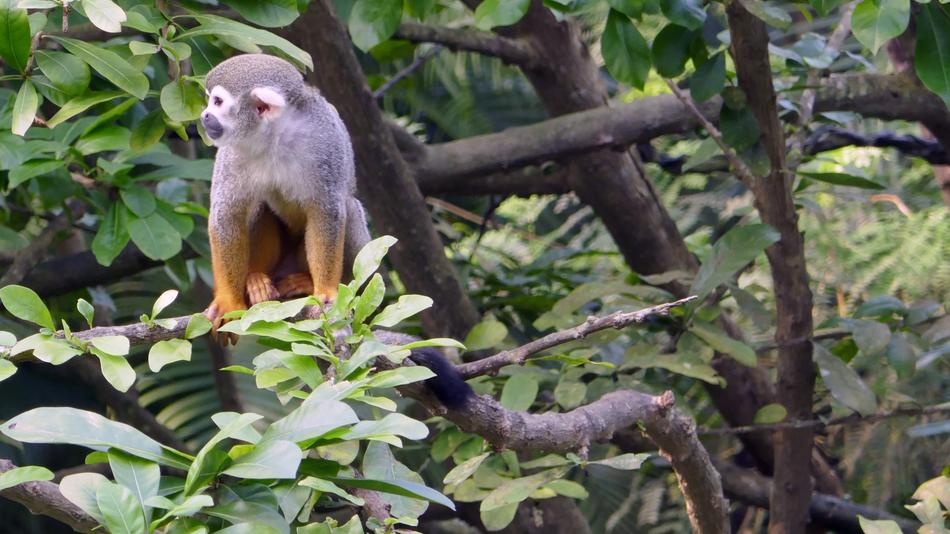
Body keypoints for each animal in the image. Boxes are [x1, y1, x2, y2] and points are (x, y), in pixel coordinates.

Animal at [198, 54, 473, 409]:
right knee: (259, 205)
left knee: (349, 207)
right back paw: (256, 279)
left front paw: (327, 292)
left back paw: (309, 284)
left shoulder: (323, 141)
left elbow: (327, 211)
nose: (205, 116)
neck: (272, 136)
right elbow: (227, 217)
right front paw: (230, 302)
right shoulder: (232, 151)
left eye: (217, 102)